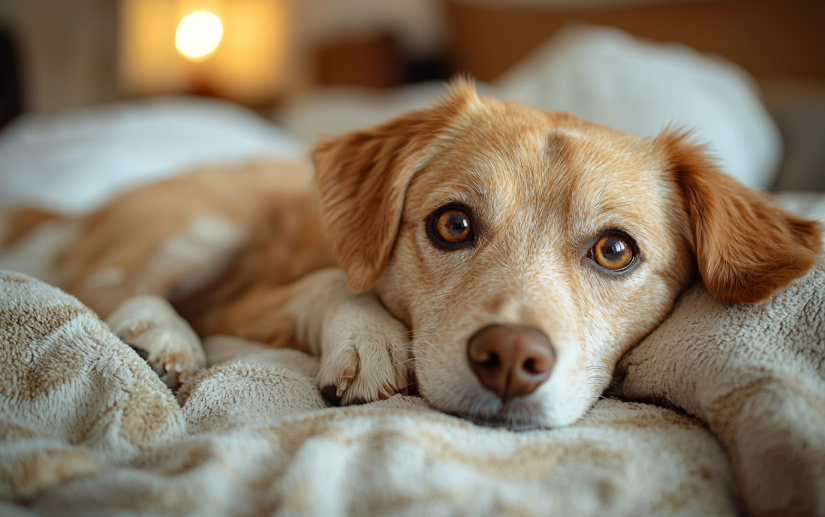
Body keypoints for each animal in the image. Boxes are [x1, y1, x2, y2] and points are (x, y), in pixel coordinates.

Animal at [4, 79, 816, 428]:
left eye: (614, 250)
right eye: (452, 225)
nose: (509, 358)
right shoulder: (250, 298)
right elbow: (335, 282)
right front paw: (368, 337)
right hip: (195, 230)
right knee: (106, 290)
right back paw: (160, 335)